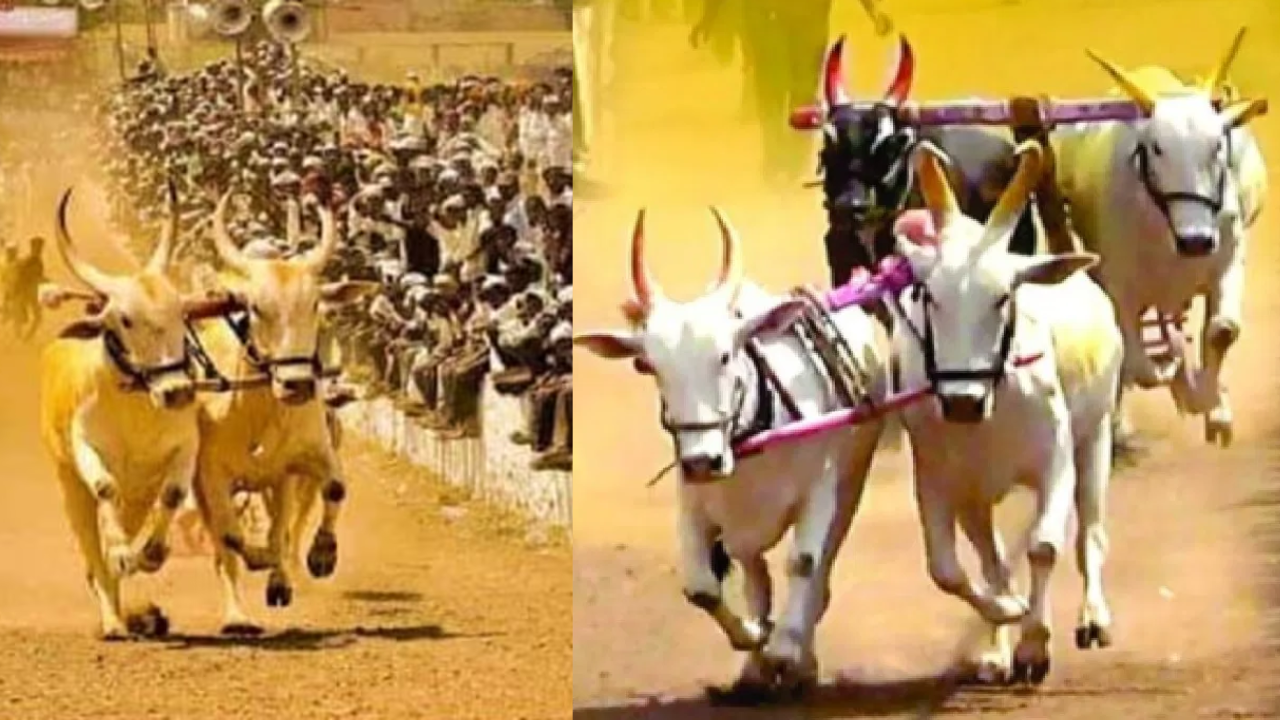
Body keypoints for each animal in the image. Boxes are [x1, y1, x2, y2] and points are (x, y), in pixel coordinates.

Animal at [576, 206, 885, 696]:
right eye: (649, 365)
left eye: (725, 355)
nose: (703, 461)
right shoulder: (695, 502)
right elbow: (702, 588)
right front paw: (756, 638)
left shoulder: (821, 489)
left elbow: (804, 563)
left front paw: (785, 651)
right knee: (757, 579)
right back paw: (755, 667)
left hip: (852, 480)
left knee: (819, 576)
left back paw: (797, 659)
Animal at [890, 140, 1121, 681]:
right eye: (928, 294)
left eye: (1003, 296)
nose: (961, 401)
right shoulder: (941, 482)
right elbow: (952, 571)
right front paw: (1009, 615)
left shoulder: (1055, 461)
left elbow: (1043, 547)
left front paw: (1035, 645)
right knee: (992, 560)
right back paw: (997, 646)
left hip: (1095, 437)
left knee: (1091, 536)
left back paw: (1094, 618)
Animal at [1049, 28, 1269, 445]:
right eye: (1155, 147)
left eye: (1218, 144)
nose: (1196, 240)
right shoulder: (1120, 287)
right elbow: (1139, 364)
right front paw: (1177, 380)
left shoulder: (1229, 260)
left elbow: (1221, 331)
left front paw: (1212, 406)